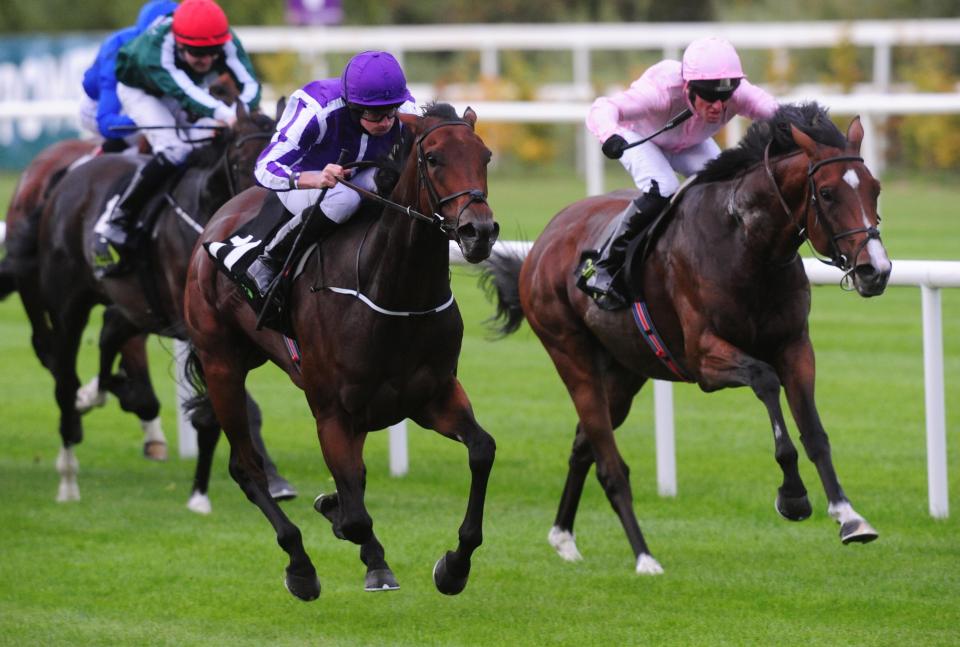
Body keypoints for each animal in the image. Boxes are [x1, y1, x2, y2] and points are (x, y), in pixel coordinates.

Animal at [37, 106, 284, 508]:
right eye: (240, 160)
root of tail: (69, 176)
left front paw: (201, 493)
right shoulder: (202, 332)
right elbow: (217, 410)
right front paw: (203, 493)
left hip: (132, 303)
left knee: (110, 332)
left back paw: (101, 393)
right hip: (68, 305)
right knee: (64, 380)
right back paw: (68, 477)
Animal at [184, 104, 502, 600]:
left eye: (485, 156)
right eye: (432, 159)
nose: (479, 231)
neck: (395, 294)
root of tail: (218, 221)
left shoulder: (431, 396)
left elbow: (482, 451)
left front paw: (454, 566)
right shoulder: (333, 411)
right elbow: (354, 515)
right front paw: (353, 543)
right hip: (221, 364)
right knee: (247, 467)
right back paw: (300, 564)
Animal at [484, 104, 888, 576]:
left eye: (875, 189)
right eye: (826, 193)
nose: (876, 271)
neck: (747, 244)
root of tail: (545, 241)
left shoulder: (795, 347)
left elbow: (815, 432)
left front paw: (849, 517)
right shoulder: (705, 358)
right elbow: (766, 381)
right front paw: (792, 496)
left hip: (624, 372)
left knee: (584, 446)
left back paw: (564, 538)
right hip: (571, 355)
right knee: (609, 464)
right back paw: (644, 557)